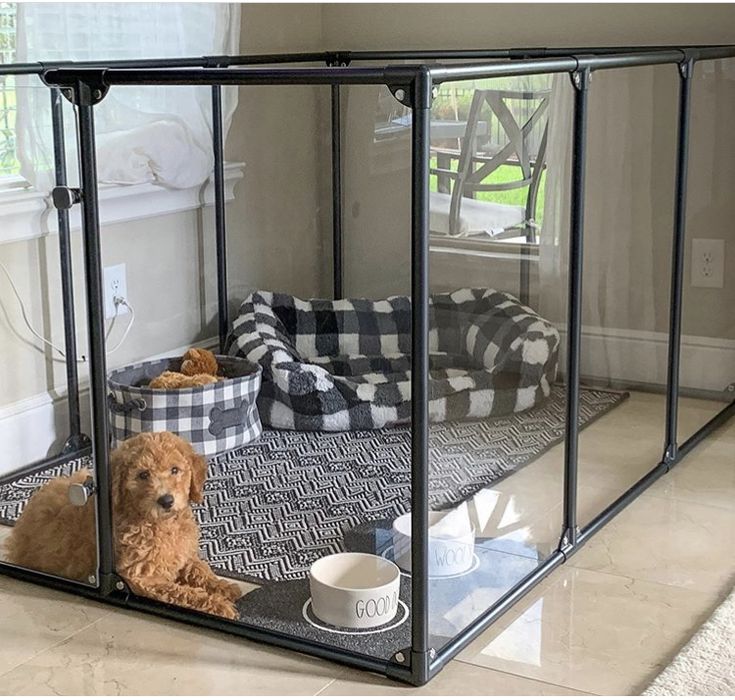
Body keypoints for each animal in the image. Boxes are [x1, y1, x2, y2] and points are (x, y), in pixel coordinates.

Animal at [6, 432, 242, 616]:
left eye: (175, 470)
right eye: (143, 475)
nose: (166, 501)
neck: (159, 523)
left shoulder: (184, 554)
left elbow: (199, 568)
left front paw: (223, 587)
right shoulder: (140, 578)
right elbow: (180, 592)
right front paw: (218, 604)